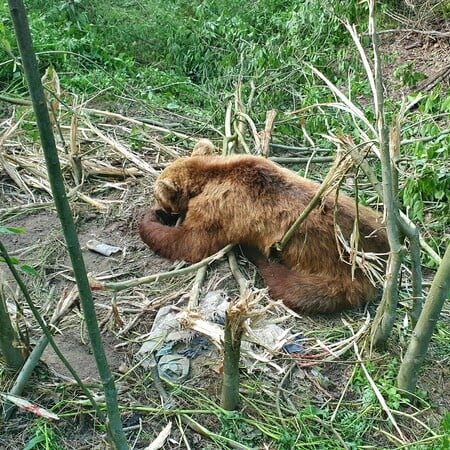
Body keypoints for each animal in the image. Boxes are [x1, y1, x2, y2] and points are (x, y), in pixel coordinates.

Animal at [139, 153, 388, 314]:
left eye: (157, 195)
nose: (159, 208)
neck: (208, 178)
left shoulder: (218, 209)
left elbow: (191, 243)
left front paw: (150, 219)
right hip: (369, 214)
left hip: (334, 268)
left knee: (294, 288)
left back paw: (255, 254)